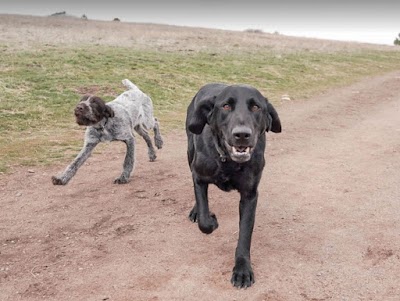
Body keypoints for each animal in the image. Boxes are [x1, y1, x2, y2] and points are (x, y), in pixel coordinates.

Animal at [185, 82, 282, 286]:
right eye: (226, 106)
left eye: (256, 107)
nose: (242, 134)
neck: (228, 161)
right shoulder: (199, 176)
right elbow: (204, 221)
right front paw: (210, 220)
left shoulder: (250, 195)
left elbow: (245, 234)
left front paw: (242, 269)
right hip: (190, 151)